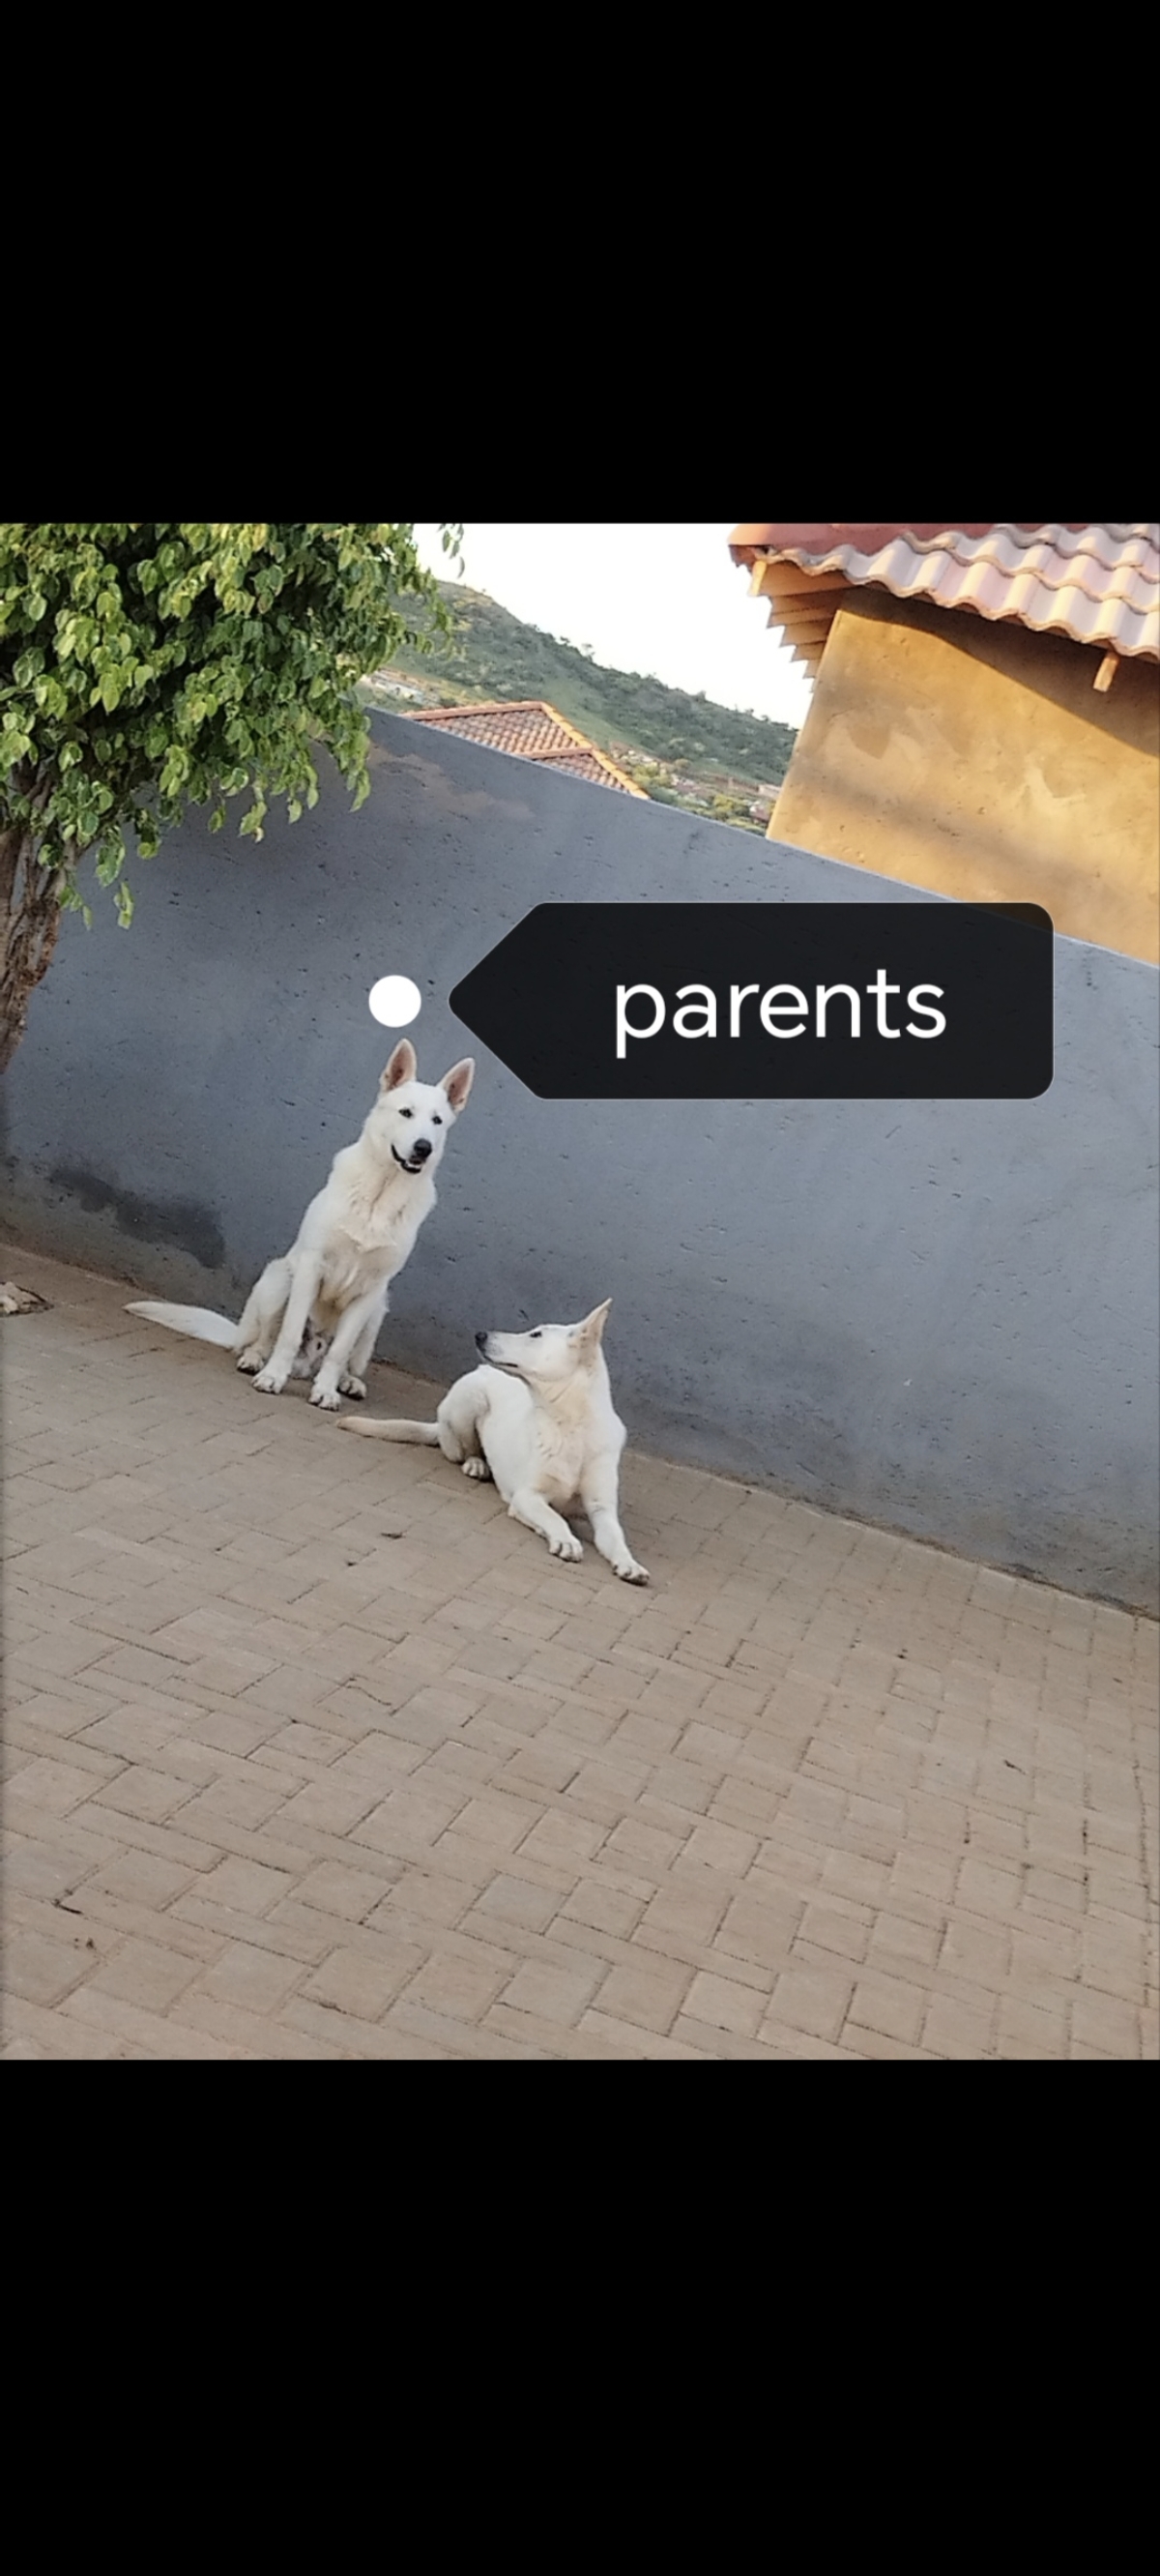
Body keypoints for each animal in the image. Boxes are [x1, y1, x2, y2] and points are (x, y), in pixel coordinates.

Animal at [126, 1039, 474, 1410]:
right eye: (406, 1112)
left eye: (437, 1120)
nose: (423, 1148)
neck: (378, 1196)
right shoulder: (311, 1267)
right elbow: (290, 1334)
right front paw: (273, 1378)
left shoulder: (371, 1291)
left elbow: (339, 1352)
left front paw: (327, 1390)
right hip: (280, 1279)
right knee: (263, 1340)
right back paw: (256, 1360)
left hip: (376, 1313)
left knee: (344, 1358)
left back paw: (347, 1381)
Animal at [339, 1300, 649, 1581]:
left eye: (536, 1335)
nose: (480, 1335)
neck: (571, 1426)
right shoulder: (527, 1495)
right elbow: (554, 1517)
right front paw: (565, 1539)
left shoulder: (602, 1509)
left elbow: (616, 1538)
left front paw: (629, 1563)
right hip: (470, 1400)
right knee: (463, 1451)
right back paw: (476, 1464)